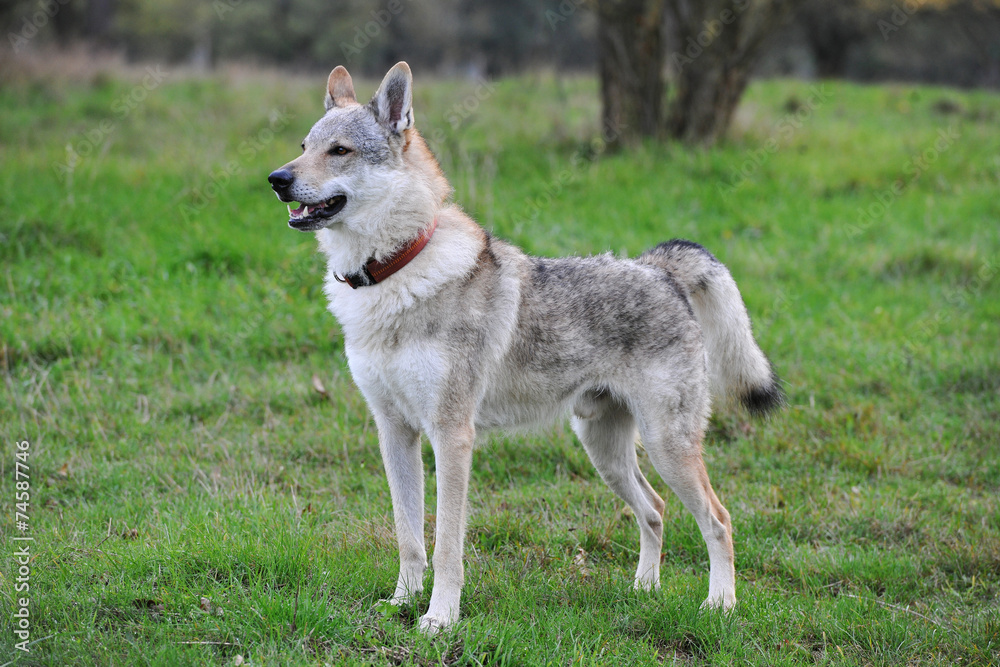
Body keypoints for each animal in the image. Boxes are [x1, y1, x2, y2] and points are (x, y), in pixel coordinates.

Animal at [268, 61, 780, 632]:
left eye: (339, 151)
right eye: (304, 145)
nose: (277, 179)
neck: (393, 272)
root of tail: (658, 267)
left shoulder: (452, 436)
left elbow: (446, 546)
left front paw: (438, 620)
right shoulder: (394, 431)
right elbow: (409, 537)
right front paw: (402, 603)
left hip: (666, 446)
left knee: (719, 518)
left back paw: (720, 604)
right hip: (605, 450)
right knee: (654, 510)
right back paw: (644, 589)